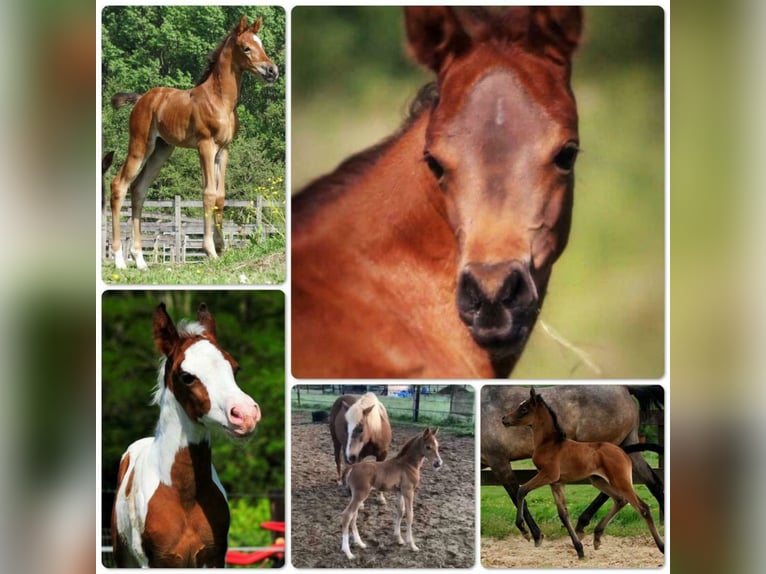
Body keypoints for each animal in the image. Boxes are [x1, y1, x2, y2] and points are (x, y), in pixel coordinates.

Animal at [106, 16, 278, 270]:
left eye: (262, 45)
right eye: (247, 48)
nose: (272, 71)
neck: (220, 100)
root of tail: (140, 99)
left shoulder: (224, 150)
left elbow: (220, 195)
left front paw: (221, 247)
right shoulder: (205, 145)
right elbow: (208, 194)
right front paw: (210, 250)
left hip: (161, 150)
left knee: (138, 189)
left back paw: (140, 260)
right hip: (140, 145)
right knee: (119, 185)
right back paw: (119, 259)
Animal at [109, 304, 262, 568]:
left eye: (235, 368)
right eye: (187, 376)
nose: (246, 414)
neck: (185, 495)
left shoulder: (214, 558)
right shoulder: (157, 562)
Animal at [342, 430, 444, 560]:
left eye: (437, 446)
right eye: (428, 447)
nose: (438, 463)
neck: (408, 464)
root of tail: (352, 467)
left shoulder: (400, 491)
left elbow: (400, 511)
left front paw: (399, 538)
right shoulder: (409, 491)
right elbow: (410, 514)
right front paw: (412, 545)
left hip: (358, 496)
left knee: (353, 516)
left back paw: (360, 543)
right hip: (360, 494)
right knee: (347, 515)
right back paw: (348, 552)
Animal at [484, 390, 664, 548]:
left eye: (523, 409)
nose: (504, 419)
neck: (550, 443)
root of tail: (623, 451)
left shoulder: (548, 475)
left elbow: (521, 490)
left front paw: (525, 530)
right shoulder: (556, 481)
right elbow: (563, 513)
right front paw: (577, 547)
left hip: (620, 481)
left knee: (643, 508)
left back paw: (661, 545)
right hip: (598, 480)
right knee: (621, 500)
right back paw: (596, 536)